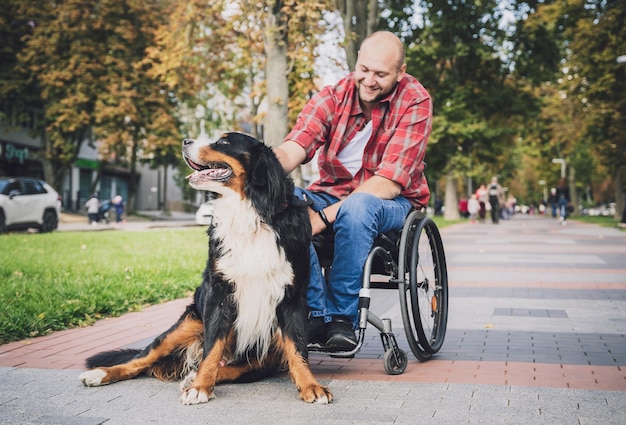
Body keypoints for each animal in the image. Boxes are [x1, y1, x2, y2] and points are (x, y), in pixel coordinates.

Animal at [79, 131, 332, 402]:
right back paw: (101, 374)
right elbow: (212, 348)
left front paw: (310, 385)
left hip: (267, 351)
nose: (185, 141)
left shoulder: (291, 296)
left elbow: (298, 348)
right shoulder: (219, 294)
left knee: (233, 369)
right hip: (185, 325)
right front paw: (200, 387)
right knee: (140, 360)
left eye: (224, 141)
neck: (249, 215)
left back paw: (193, 377)